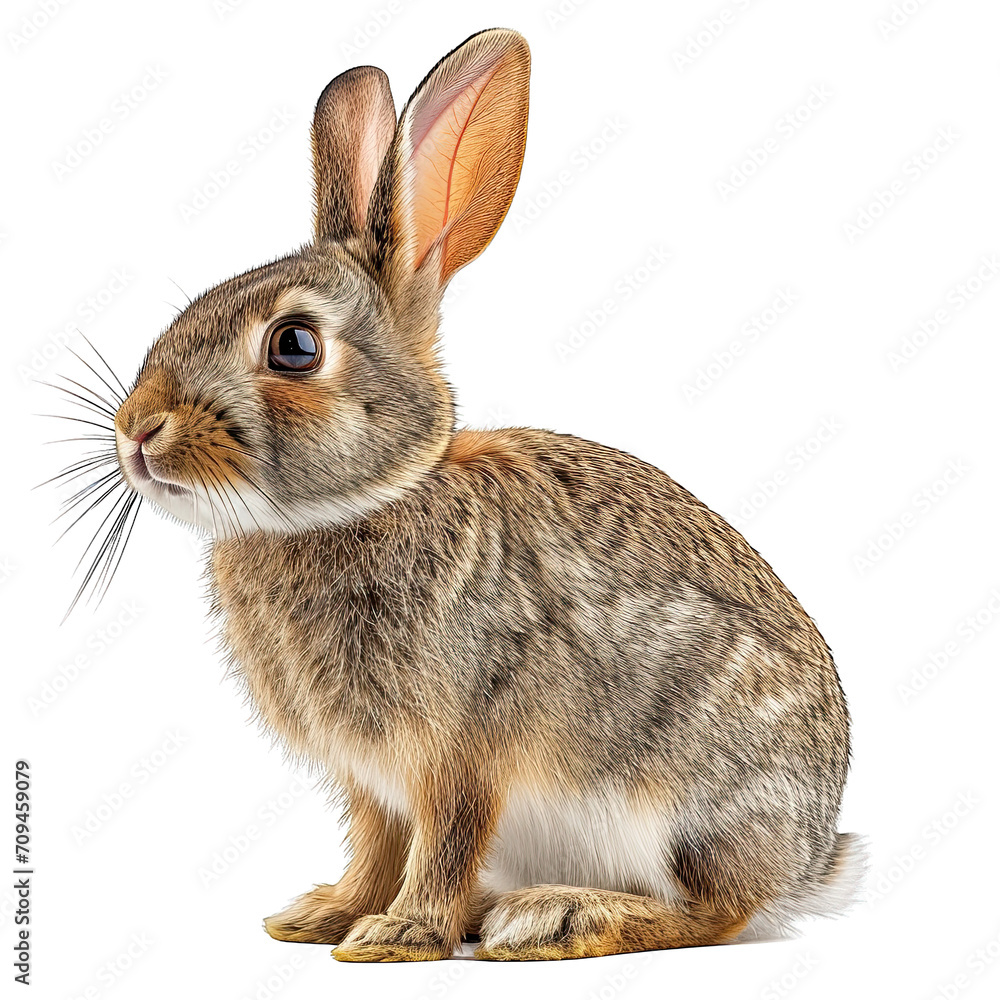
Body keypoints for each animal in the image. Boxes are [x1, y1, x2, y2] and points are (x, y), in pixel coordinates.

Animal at [107, 27, 864, 962]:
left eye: (294, 346)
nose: (137, 431)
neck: (371, 500)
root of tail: (809, 860)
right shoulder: (371, 778)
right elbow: (377, 842)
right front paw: (323, 917)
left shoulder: (460, 752)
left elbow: (445, 837)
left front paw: (395, 936)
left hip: (686, 800)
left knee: (716, 912)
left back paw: (557, 916)